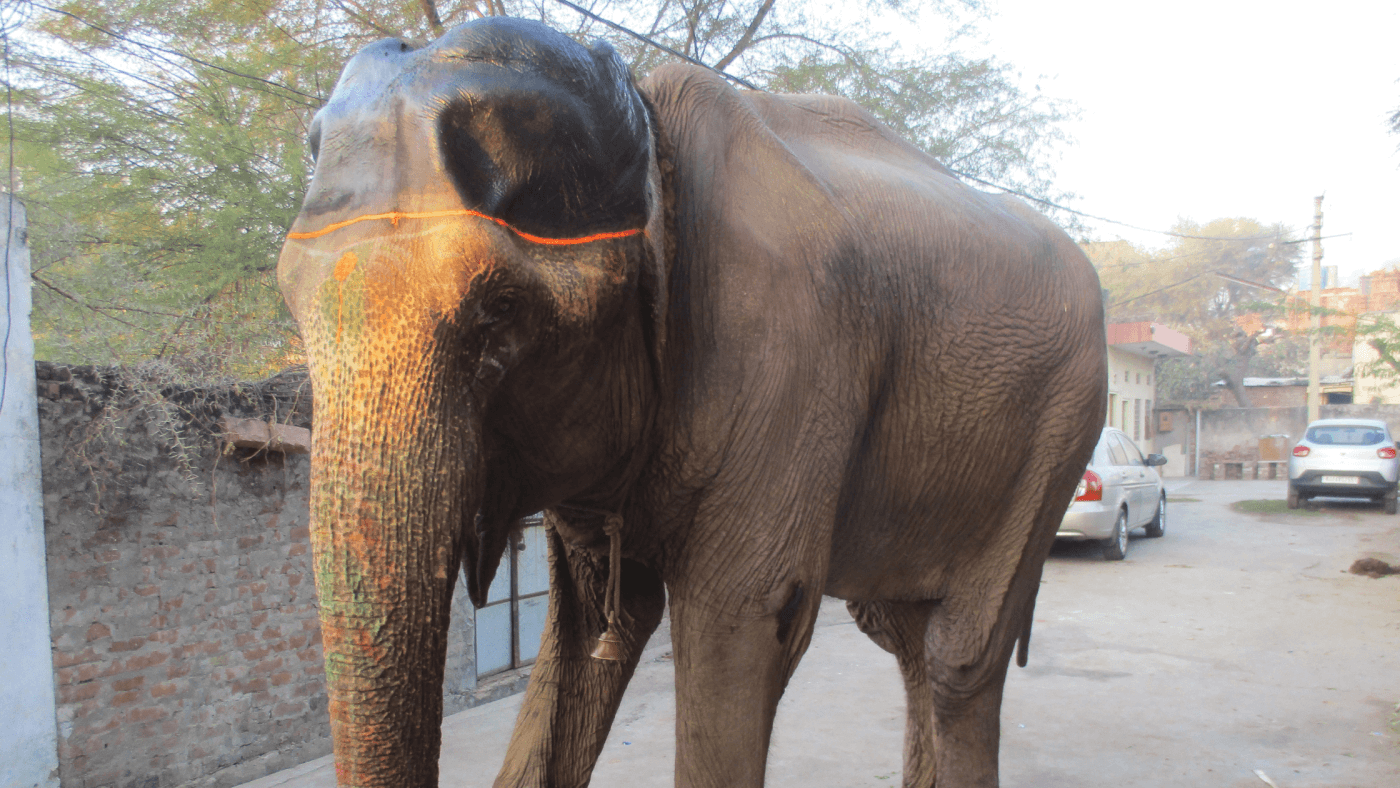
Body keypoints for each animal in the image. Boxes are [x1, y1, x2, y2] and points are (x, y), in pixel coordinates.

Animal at [273, 15, 1103, 788]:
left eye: (499, 312)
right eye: (290, 301)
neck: (649, 132)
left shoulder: (790, 357)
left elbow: (747, 616)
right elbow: (589, 633)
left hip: (1061, 431)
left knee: (959, 655)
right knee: (901, 633)